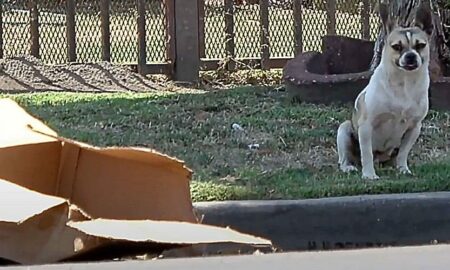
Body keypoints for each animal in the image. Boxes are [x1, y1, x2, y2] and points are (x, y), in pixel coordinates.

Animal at [336, 2, 434, 180]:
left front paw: (403, 169)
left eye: (420, 46)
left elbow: (403, 153)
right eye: (396, 47)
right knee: (346, 158)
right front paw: (369, 175)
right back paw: (349, 167)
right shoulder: (366, 126)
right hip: (344, 130)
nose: (410, 56)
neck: (404, 82)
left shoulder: (414, 128)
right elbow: (366, 153)